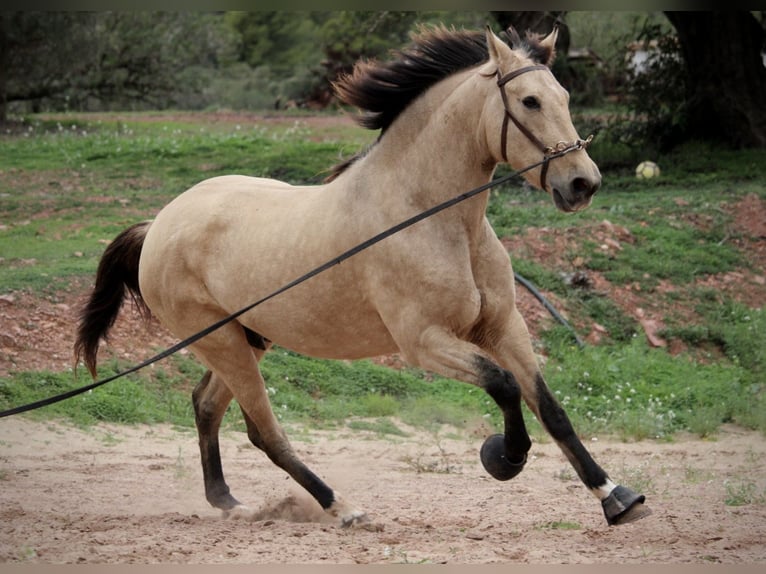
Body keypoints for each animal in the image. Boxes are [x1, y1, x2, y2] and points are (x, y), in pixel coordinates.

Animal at [75, 27, 652, 532]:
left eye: (565, 96)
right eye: (530, 101)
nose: (583, 184)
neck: (431, 217)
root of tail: (159, 224)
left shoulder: (504, 326)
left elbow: (551, 409)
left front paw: (616, 498)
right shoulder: (425, 343)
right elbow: (505, 386)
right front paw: (504, 457)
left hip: (247, 337)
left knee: (208, 405)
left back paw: (228, 501)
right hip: (222, 343)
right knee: (266, 432)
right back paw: (343, 508)